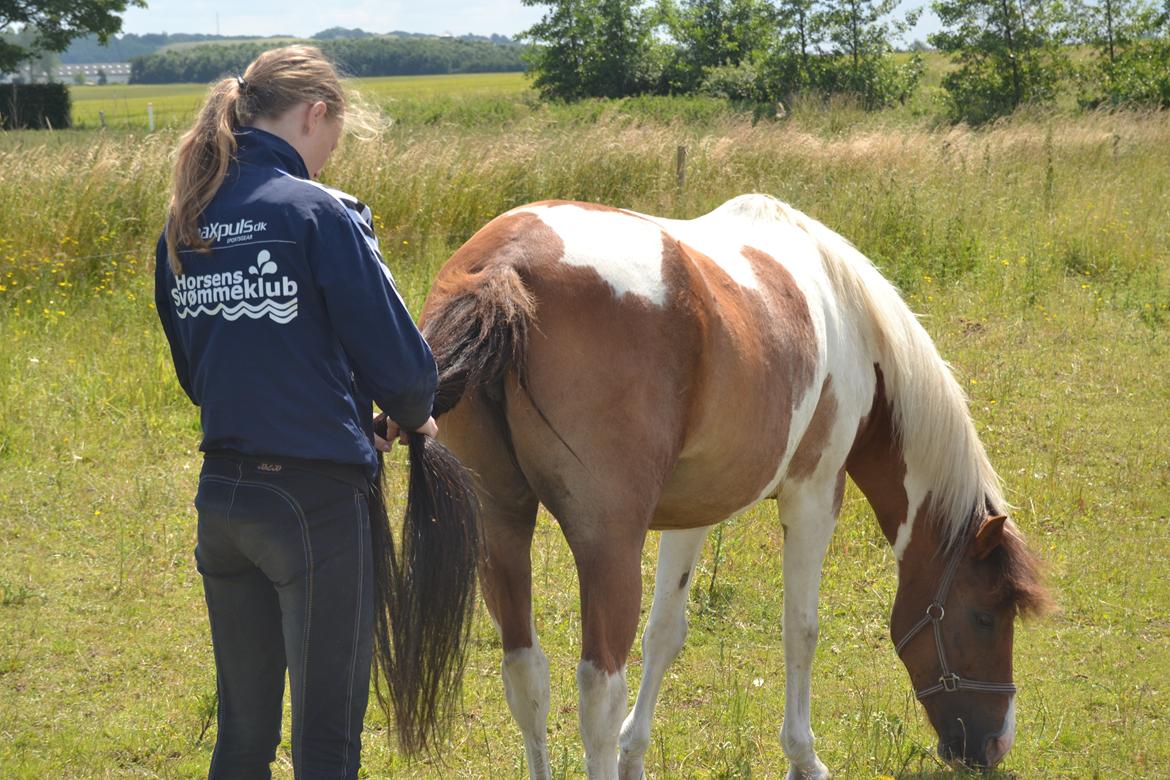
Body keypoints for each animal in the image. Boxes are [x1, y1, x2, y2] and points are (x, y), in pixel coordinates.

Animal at [421, 191, 1053, 776]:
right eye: (986, 617)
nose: (995, 745)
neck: (853, 325)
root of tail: (507, 266)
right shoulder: (814, 496)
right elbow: (800, 629)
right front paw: (804, 757)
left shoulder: (692, 512)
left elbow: (665, 632)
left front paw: (635, 754)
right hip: (608, 544)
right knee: (597, 691)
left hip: (503, 526)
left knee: (526, 674)